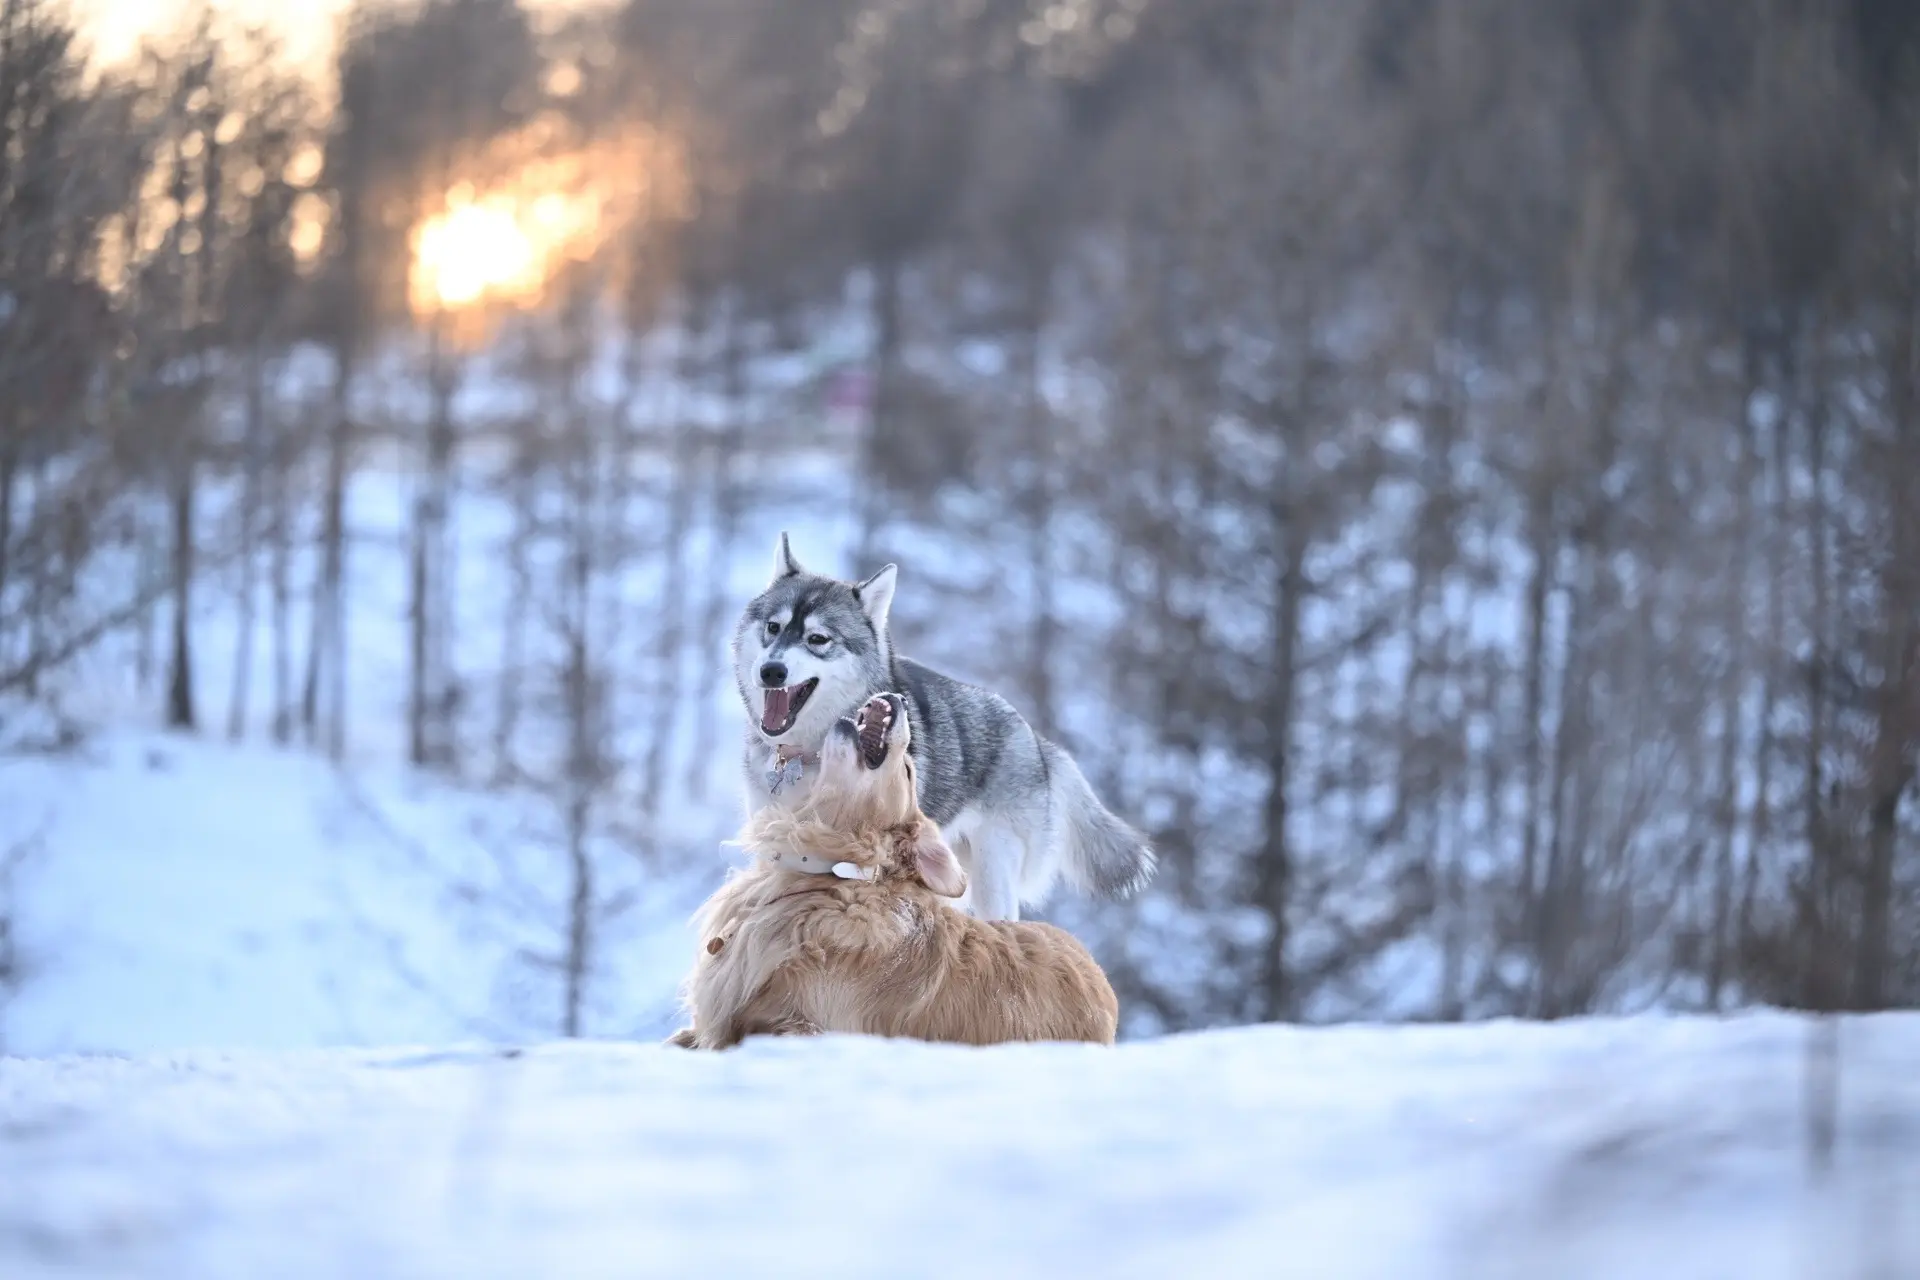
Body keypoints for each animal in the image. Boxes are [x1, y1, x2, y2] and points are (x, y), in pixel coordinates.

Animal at [733, 533, 1152, 921]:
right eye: (774, 627)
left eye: (818, 639)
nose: (771, 671)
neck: (803, 757)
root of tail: (1037, 742)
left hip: (992, 869)